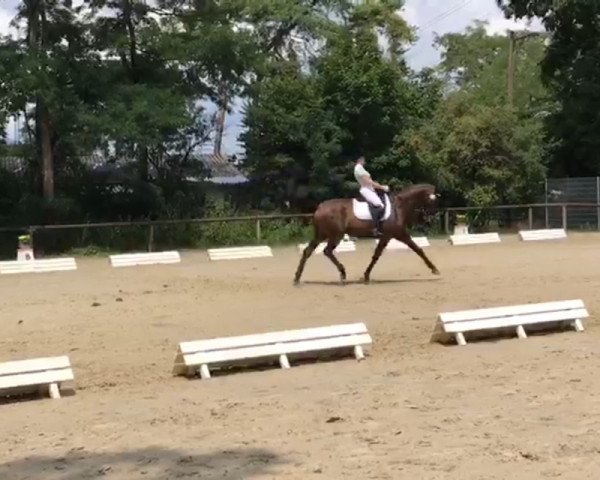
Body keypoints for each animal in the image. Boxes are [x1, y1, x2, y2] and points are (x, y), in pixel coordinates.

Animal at [294, 182, 440, 284]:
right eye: (432, 201)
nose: (430, 217)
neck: (398, 207)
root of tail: (319, 207)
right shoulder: (399, 234)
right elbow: (418, 249)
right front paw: (434, 269)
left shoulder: (386, 237)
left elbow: (376, 255)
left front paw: (366, 276)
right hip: (336, 235)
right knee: (327, 251)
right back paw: (342, 273)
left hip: (322, 234)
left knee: (308, 251)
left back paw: (297, 278)